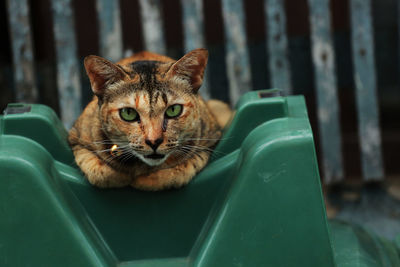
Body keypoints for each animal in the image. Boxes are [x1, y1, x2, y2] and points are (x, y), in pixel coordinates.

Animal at [67, 48, 231, 191]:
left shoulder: (211, 138)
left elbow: (179, 170)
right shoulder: (76, 137)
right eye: (128, 113)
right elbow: (100, 171)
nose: (154, 141)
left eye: (173, 110)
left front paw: (145, 180)